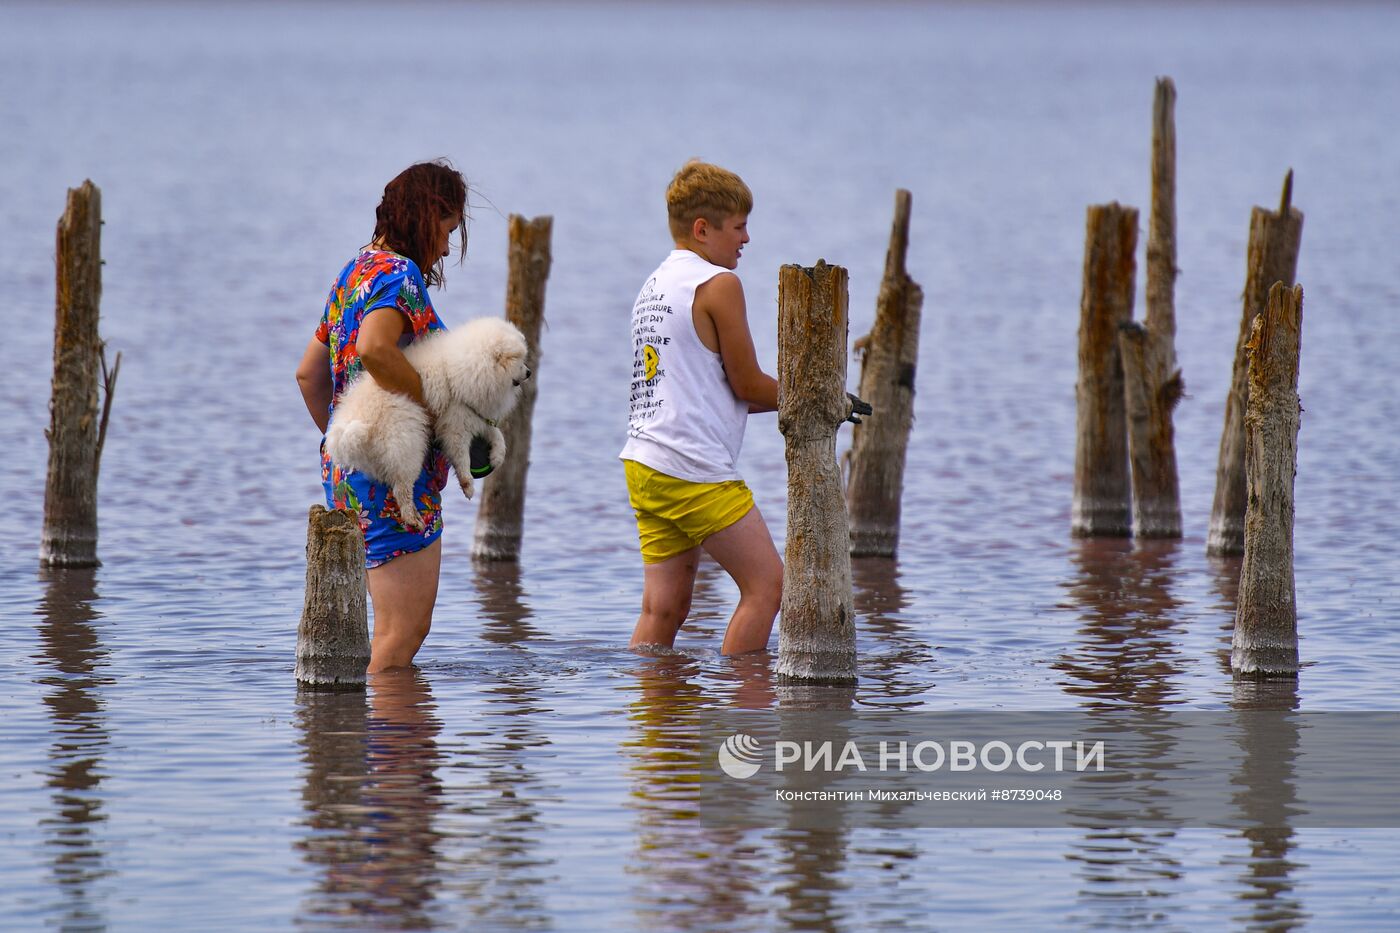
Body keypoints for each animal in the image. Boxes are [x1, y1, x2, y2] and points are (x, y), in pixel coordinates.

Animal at [324, 316, 532, 526]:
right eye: (520, 362)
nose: (529, 372)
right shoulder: (455, 424)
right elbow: (462, 457)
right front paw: (468, 484)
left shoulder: (475, 413)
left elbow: (496, 434)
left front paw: (497, 456)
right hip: (408, 445)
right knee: (402, 488)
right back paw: (412, 518)